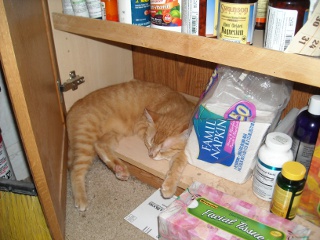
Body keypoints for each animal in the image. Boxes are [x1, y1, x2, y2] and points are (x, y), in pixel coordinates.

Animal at [67, 79, 195, 211]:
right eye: (150, 142)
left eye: (163, 149)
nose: (151, 155)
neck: (175, 108)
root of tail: (73, 107)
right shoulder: (141, 126)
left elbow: (178, 162)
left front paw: (170, 184)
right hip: (86, 140)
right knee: (75, 170)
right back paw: (80, 198)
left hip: (113, 134)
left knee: (99, 145)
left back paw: (119, 168)